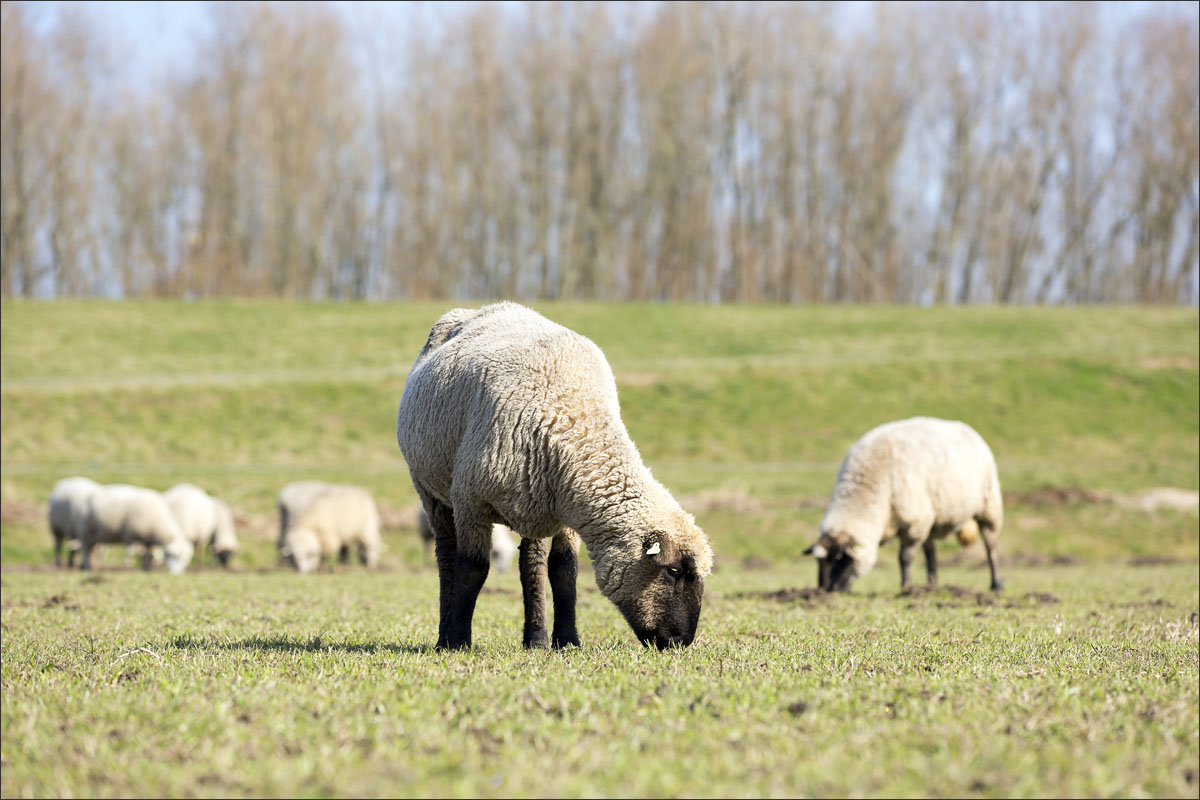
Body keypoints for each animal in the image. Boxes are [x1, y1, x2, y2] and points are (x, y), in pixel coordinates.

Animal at [398, 299, 710, 652]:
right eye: (674, 570)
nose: (681, 642)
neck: (575, 418)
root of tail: (480, 308)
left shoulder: (568, 508)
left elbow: (564, 569)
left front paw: (568, 640)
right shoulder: (470, 501)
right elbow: (472, 569)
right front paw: (458, 640)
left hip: (531, 502)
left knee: (530, 563)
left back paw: (535, 638)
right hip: (430, 491)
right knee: (447, 559)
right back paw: (444, 636)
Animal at [806, 419, 1003, 594]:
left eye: (840, 559)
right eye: (819, 562)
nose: (826, 590)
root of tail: (966, 428)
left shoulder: (914, 524)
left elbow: (905, 558)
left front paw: (906, 587)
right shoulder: (920, 522)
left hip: (988, 506)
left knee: (991, 547)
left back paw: (996, 585)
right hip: (932, 517)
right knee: (931, 552)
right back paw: (931, 586)